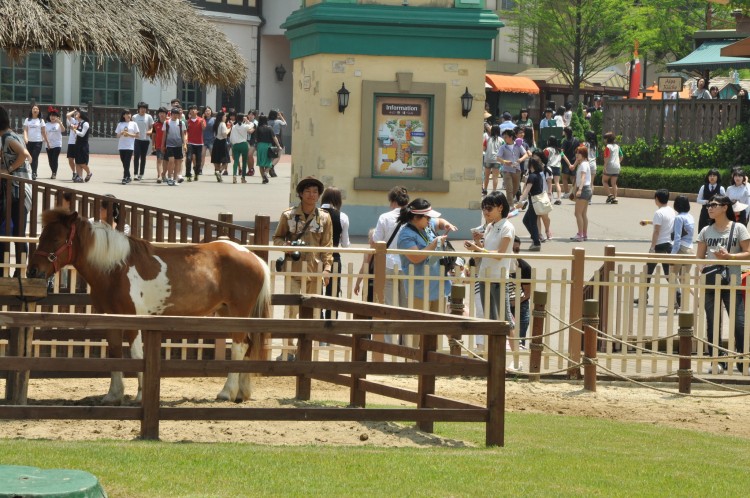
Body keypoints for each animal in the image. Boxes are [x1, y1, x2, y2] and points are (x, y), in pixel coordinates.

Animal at [27, 209, 274, 404]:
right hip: (227, 312)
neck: (115, 269)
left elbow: (137, 355)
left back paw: (226, 393)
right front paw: (113, 396)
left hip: (237, 312)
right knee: (248, 345)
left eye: (57, 239)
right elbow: (115, 353)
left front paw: (140, 396)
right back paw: (242, 393)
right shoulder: (110, 319)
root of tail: (253, 257)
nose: (32, 271)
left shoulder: (133, 320)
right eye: (41, 236)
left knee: (239, 347)